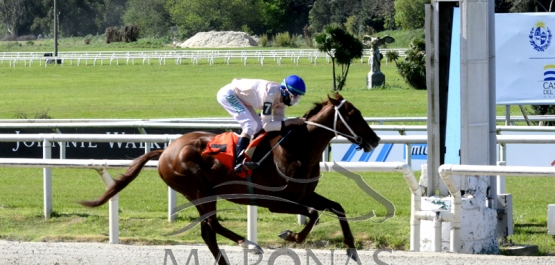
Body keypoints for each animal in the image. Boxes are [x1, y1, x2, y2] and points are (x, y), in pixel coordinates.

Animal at [79, 92, 382, 262]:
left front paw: (352, 250)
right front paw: (290, 235)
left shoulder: (305, 193)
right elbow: (313, 214)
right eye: (353, 114)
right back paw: (249, 244)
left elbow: (336, 208)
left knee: (208, 230)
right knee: (211, 226)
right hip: (200, 190)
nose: (375, 139)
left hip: (201, 193)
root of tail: (166, 150)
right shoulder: (275, 201)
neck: (297, 147)